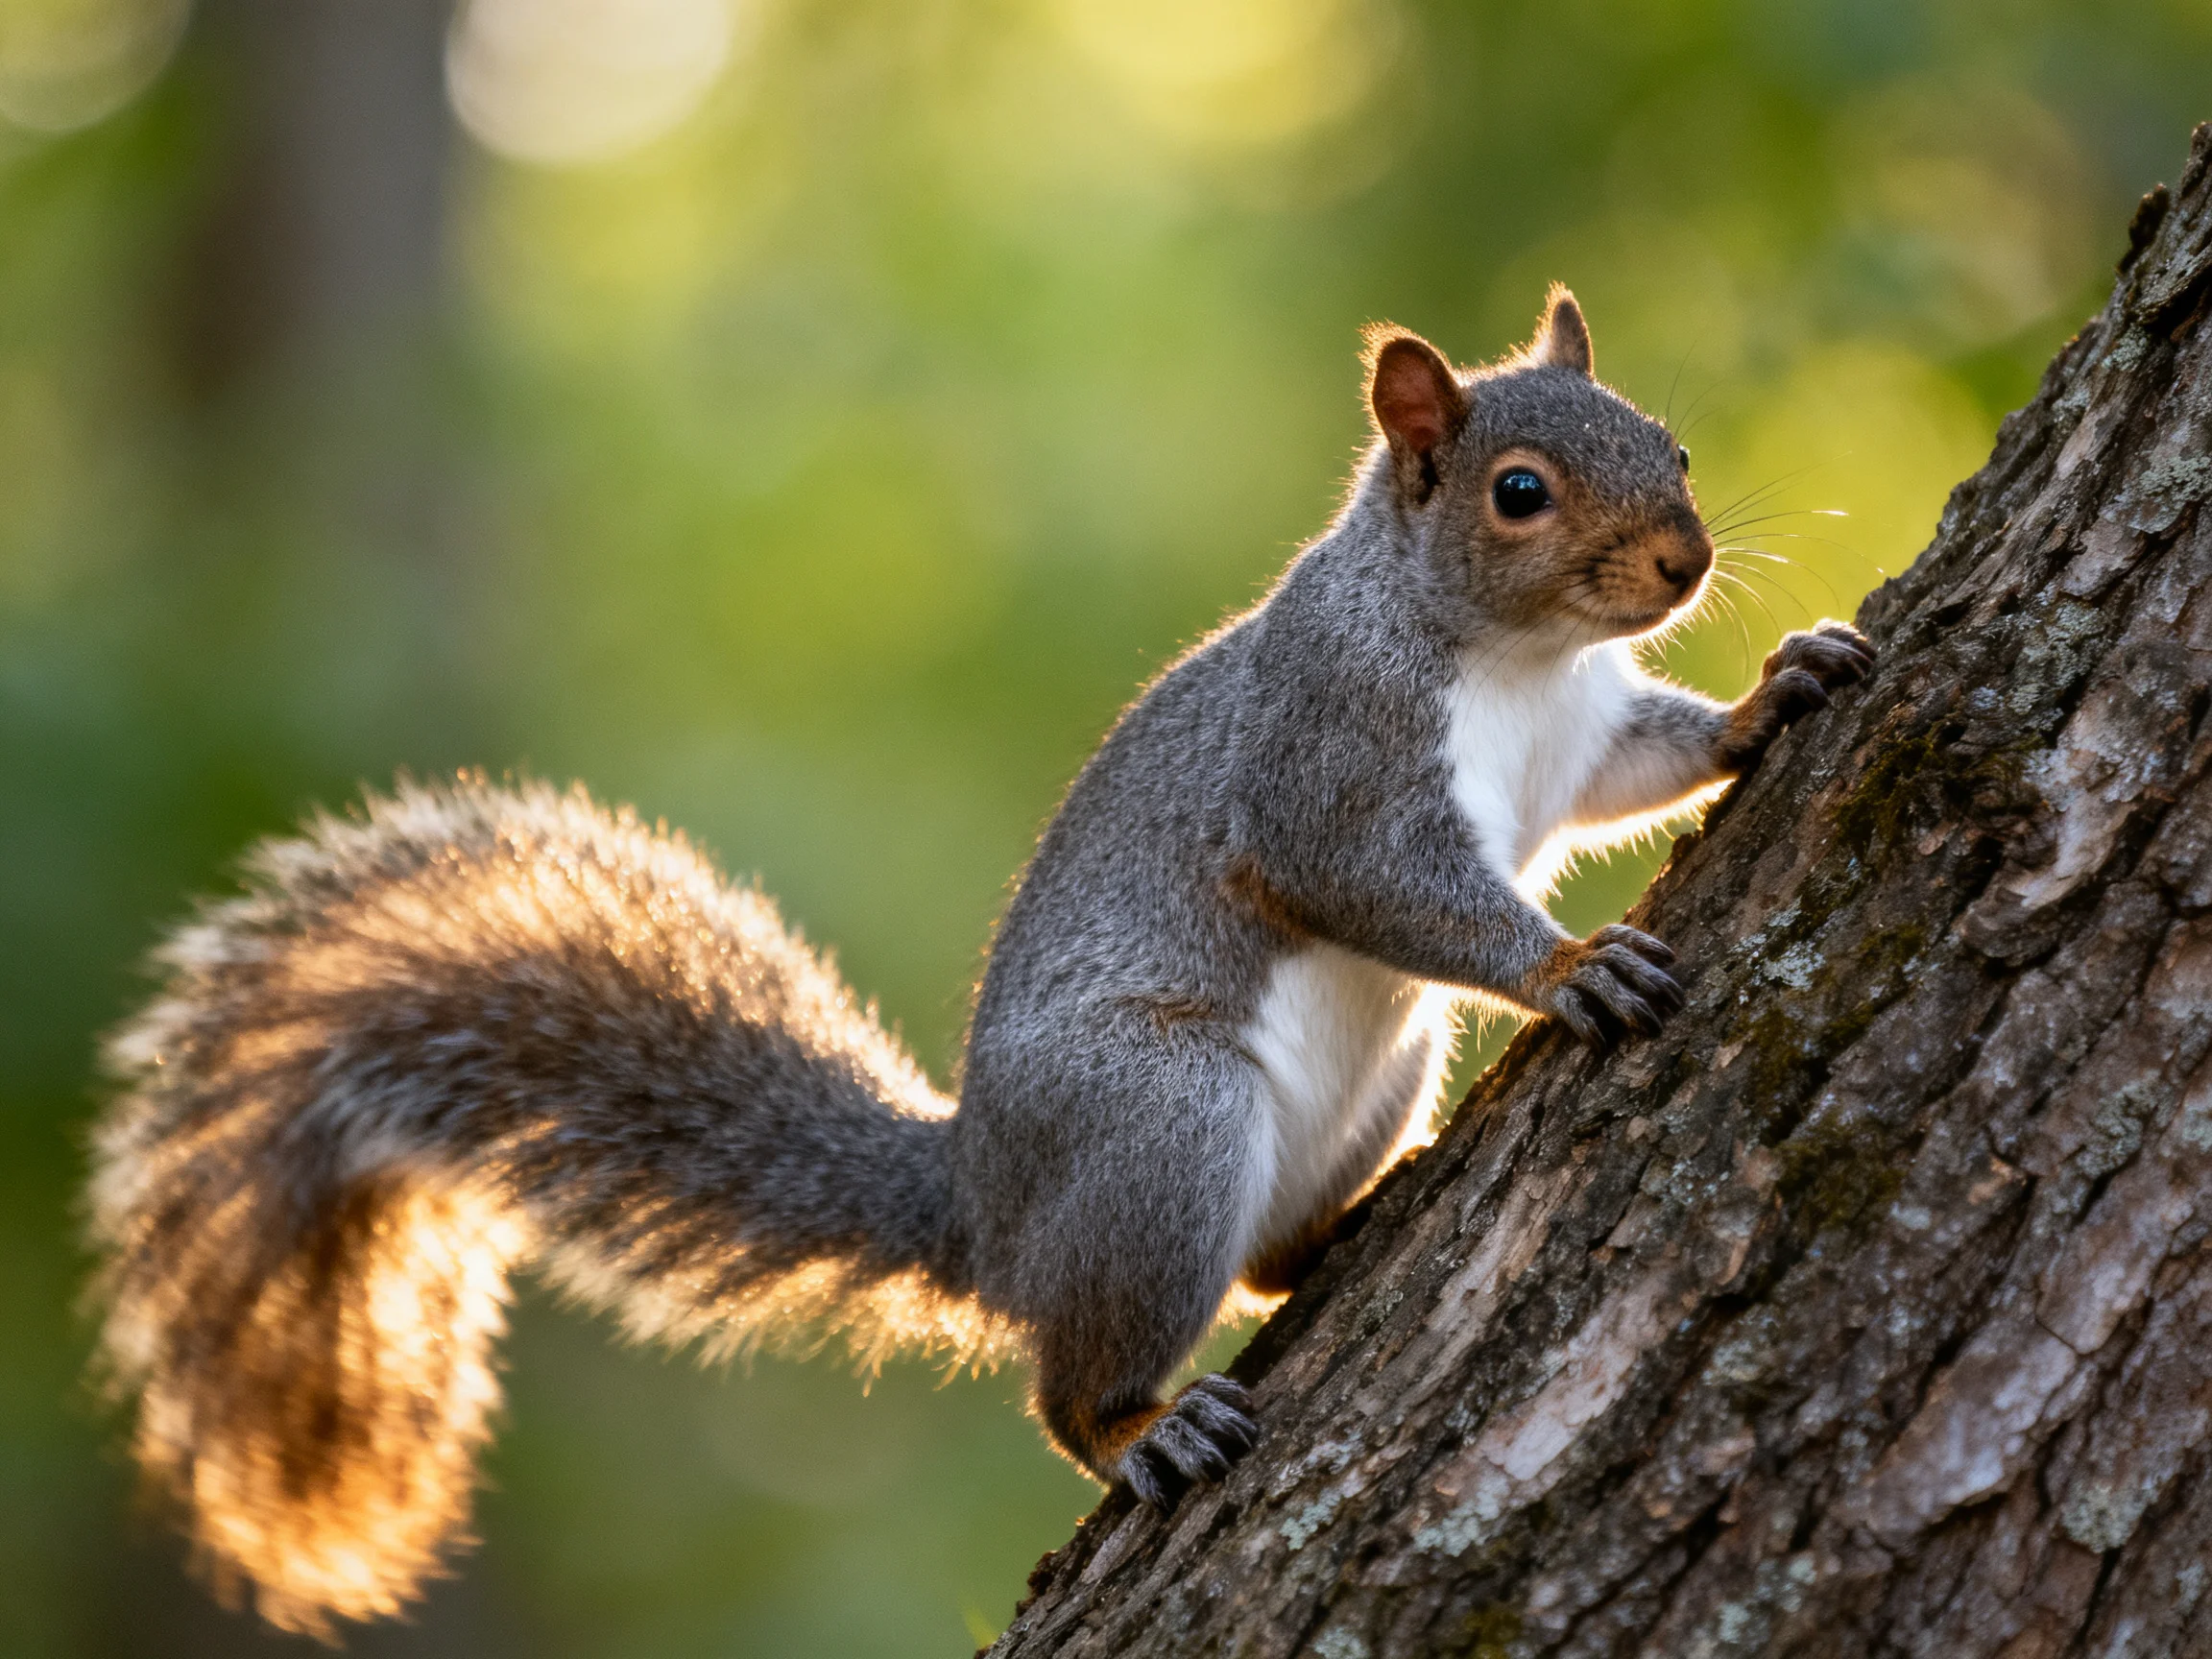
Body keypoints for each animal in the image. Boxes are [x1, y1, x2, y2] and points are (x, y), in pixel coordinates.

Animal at [86, 287, 1872, 1636]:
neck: (1510, 662)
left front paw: (1769, 697)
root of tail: (986, 1212)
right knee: (1070, 1384)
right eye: (1518, 490)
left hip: (1366, 1073)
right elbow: (1387, 889)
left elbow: (1649, 759)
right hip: (1158, 1117)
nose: (1683, 562)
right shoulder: (1325, 768)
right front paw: (1569, 966)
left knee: (1266, 1263)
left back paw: (1347, 1217)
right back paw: (1144, 1424)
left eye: (1671, 444)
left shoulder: (1582, 738)